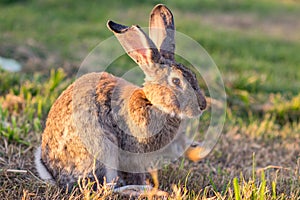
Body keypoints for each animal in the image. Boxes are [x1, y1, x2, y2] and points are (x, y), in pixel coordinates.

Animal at [34, 3, 206, 192]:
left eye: (193, 76)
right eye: (176, 81)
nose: (202, 105)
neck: (152, 103)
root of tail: (55, 174)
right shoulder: (133, 152)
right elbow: (134, 173)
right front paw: (143, 185)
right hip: (103, 149)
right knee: (105, 188)